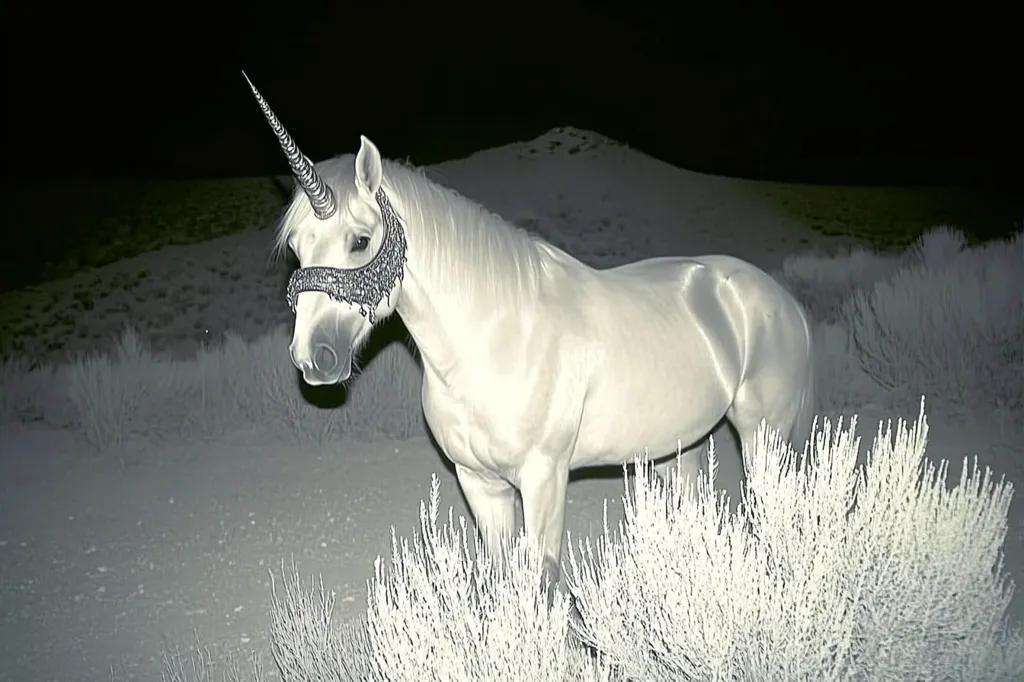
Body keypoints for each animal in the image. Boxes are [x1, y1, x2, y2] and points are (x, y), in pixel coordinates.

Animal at [244, 74, 817, 592]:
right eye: (296, 247)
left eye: (361, 241)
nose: (312, 356)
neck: (494, 342)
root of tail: (783, 301)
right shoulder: (480, 483)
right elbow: (500, 578)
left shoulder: (544, 479)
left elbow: (540, 581)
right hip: (682, 446)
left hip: (763, 435)